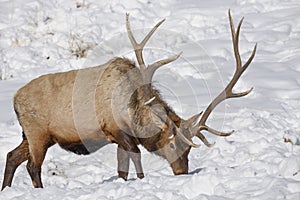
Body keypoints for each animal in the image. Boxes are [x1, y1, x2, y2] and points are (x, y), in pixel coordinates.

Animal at [1, 9, 256, 190]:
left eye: (189, 150)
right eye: (173, 144)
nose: (181, 172)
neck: (135, 112)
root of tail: (14, 98)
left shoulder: (120, 138)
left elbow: (122, 171)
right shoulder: (117, 131)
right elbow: (136, 162)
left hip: (34, 135)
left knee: (12, 156)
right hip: (37, 132)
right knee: (33, 166)